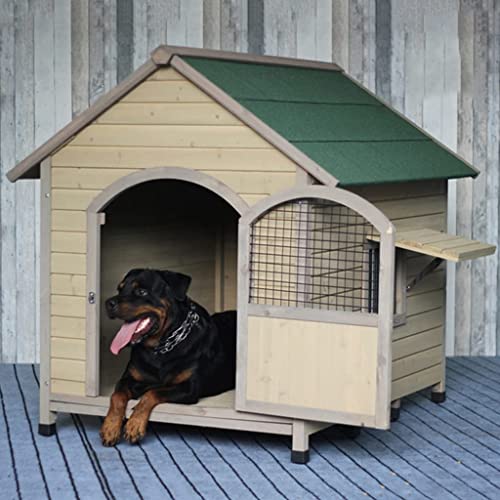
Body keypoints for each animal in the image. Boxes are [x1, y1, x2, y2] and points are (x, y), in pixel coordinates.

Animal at [99, 268, 236, 446]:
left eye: (141, 291)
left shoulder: (188, 388)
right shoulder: (128, 379)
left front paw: (134, 424)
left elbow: (152, 393)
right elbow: (116, 396)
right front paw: (110, 427)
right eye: (120, 289)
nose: (108, 303)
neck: (161, 348)